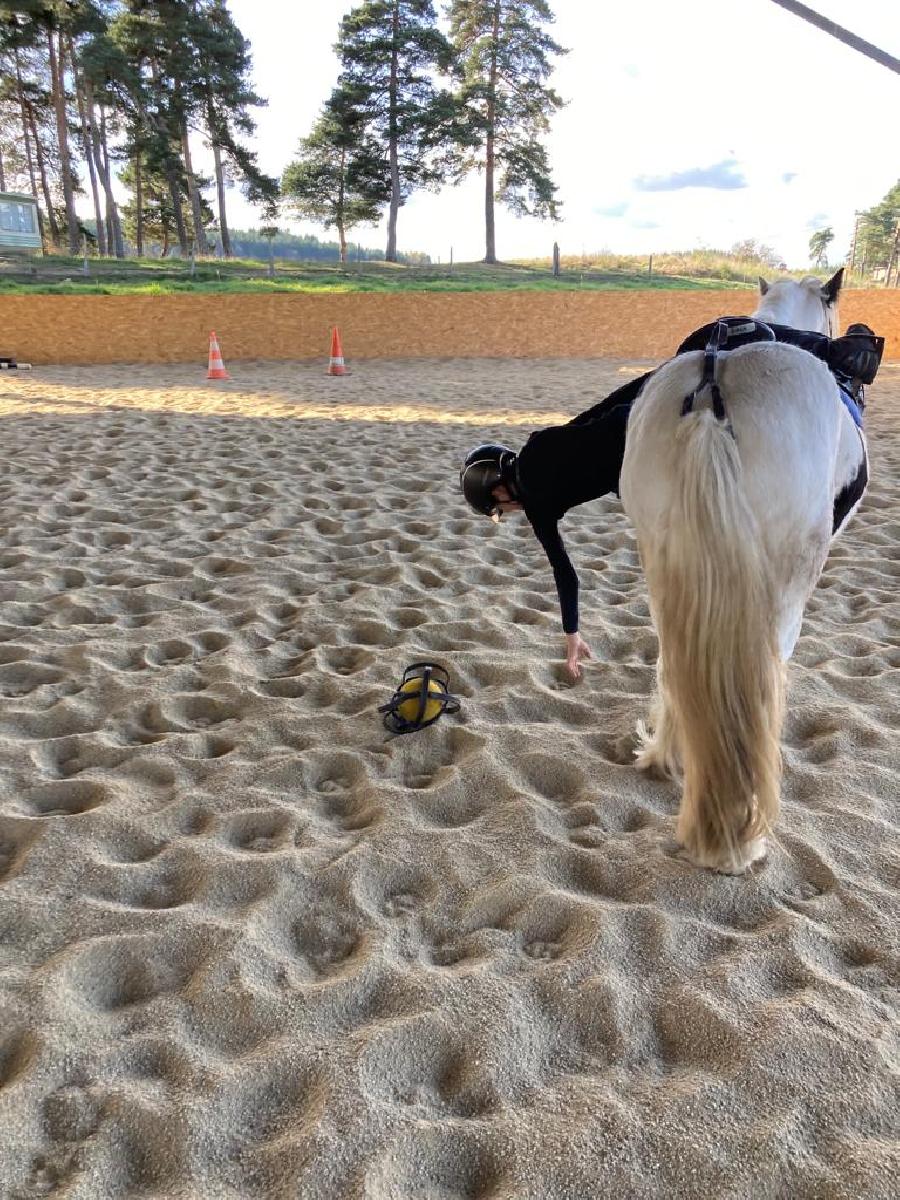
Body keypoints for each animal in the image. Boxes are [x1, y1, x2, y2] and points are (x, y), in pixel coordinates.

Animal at [624, 270, 868, 873]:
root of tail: (711, 391)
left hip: (663, 566)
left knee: (675, 665)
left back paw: (666, 757)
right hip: (783, 591)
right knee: (761, 686)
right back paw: (743, 836)